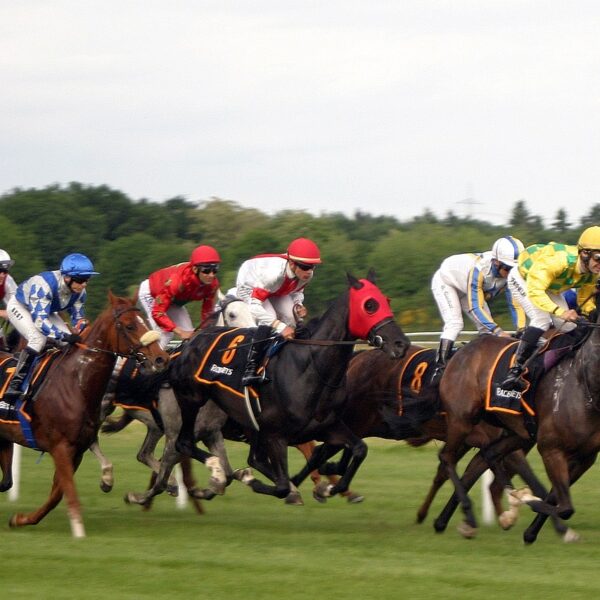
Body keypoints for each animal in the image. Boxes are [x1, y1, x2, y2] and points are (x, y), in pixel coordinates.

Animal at [0, 292, 169, 540]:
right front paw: (79, 531)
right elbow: (68, 491)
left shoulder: (76, 449)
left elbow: (57, 494)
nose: (161, 358)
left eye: (146, 322)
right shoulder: (60, 447)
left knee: (6, 481)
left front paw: (21, 519)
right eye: (129, 326)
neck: (76, 383)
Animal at [124, 272, 410, 506]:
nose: (401, 344)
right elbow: (281, 482)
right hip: (188, 409)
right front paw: (259, 481)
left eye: (385, 301)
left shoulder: (325, 426)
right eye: (370, 305)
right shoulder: (274, 434)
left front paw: (331, 486)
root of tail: (185, 349)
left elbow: (357, 449)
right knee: (177, 452)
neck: (310, 366)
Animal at [436, 318, 600, 544]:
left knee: (487, 456)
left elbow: (557, 499)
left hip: (515, 433)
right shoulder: (551, 448)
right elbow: (564, 506)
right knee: (448, 458)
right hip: (462, 420)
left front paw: (535, 530)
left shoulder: (585, 457)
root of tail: (461, 351)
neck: (584, 384)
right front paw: (526, 500)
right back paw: (472, 514)